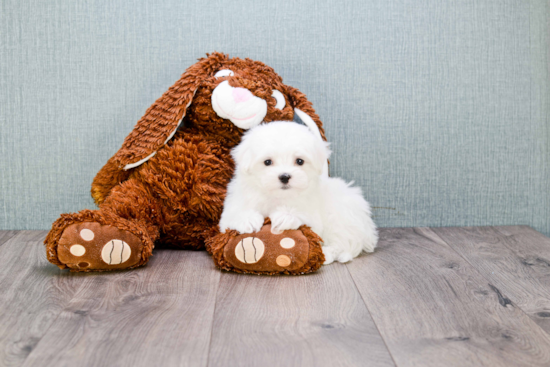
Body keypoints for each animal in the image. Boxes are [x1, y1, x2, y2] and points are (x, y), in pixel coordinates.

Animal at [220, 122, 380, 264]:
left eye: (299, 161)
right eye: (267, 162)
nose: (285, 176)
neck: (278, 196)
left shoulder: (314, 216)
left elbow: (305, 219)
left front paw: (285, 216)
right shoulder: (233, 207)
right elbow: (232, 215)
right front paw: (247, 219)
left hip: (342, 216)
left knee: (342, 242)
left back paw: (326, 254)